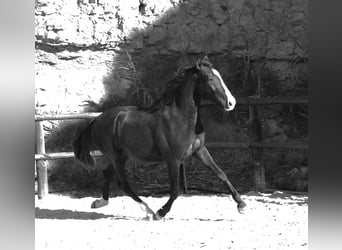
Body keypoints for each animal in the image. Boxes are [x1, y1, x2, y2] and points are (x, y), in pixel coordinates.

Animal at [73, 55, 247, 220]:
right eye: (209, 78)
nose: (232, 103)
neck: (180, 119)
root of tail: (96, 120)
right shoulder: (173, 159)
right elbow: (175, 190)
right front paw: (161, 213)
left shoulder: (199, 151)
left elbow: (221, 174)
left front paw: (242, 204)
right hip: (115, 156)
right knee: (124, 184)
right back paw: (149, 211)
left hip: (122, 156)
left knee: (107, 173)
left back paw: (100, 202)